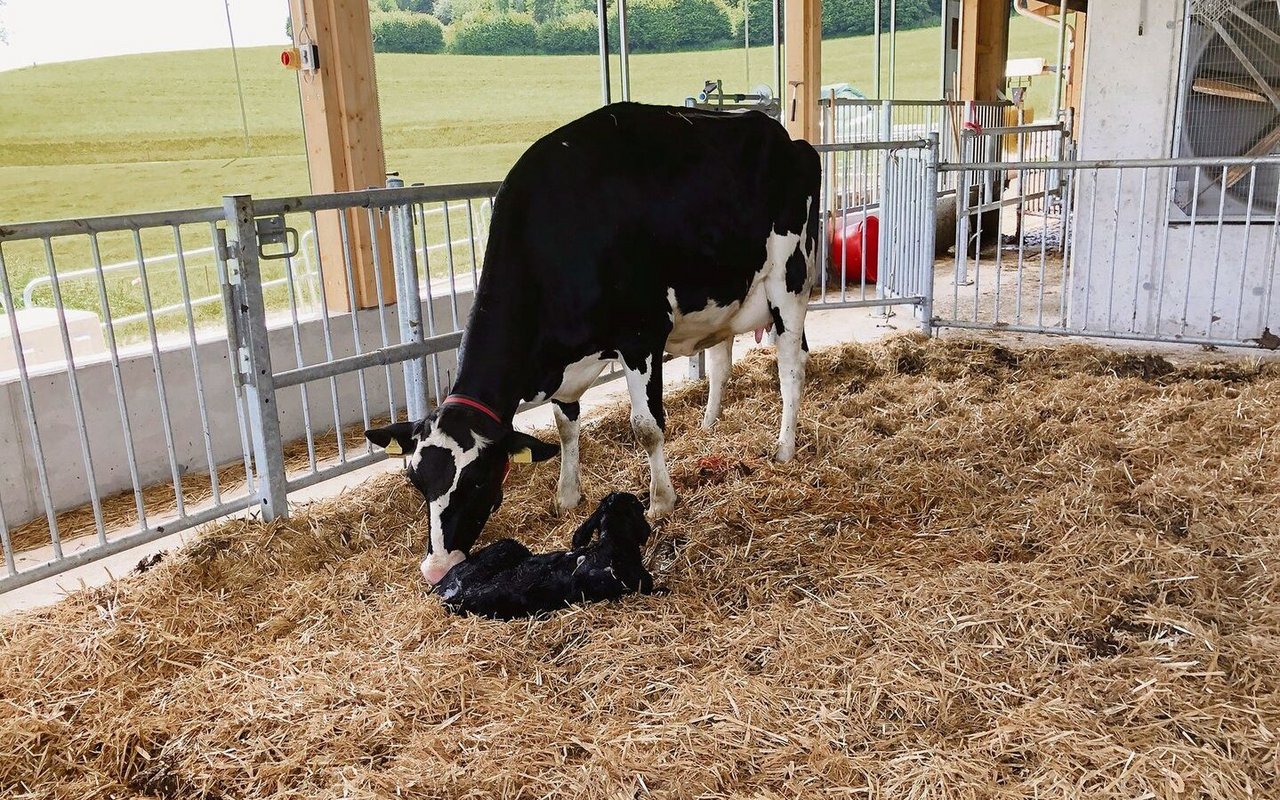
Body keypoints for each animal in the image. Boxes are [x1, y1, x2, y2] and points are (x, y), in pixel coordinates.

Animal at [366, 103, 819, 583]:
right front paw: (567, 495)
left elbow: (646, 427)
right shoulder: (563, 364)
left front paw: (661, 501)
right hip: (724, 297)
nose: (437, 569)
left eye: (476, 479)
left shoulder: (642, 336)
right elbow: (566, 427)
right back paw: (709, 424)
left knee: (791, 369)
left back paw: (784, 448)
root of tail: (780, 134)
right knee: (720, 364)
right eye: (415, 480)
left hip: (789, 283)